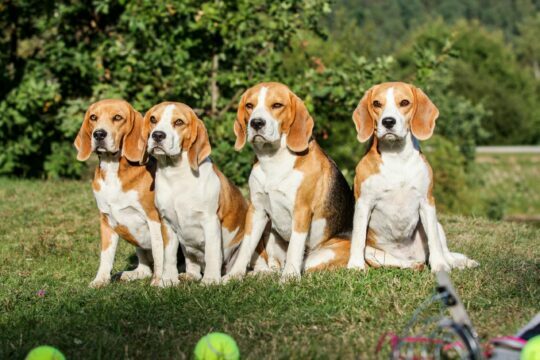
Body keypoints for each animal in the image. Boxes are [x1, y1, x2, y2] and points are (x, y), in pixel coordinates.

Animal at [73, 99, 169, 286]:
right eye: (93, 117)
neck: (112, 168)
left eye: (118, 117)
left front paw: (158, 281)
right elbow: (106, 255)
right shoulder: (106, 220)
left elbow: (159, 251)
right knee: (145, 269)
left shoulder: (154, 217)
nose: (99, 134)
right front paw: (100, 280)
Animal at [137, 101, 251, 284]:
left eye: (179, 122)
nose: (157, 135)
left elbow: (212, 253)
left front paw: (210, 280)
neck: (176, 176)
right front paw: (167, 281)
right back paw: (188, 275)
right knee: (194, 267)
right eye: (153, 119)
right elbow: (168, 256)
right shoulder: (166, 222)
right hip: (188, 248)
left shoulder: (210, 220)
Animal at [224, 81, 354, 282]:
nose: (256, 123)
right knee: (273, 266)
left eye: (277, 105)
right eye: (249, 105)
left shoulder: (301, 210)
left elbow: (294, 246)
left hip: (324, 254)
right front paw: (233, 276)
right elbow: (246, 248)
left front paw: (289, 278)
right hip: (269, 231)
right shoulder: (256, 210)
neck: (273, 160)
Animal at [346, 82, 476, 272]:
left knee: (444, 251)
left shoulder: (427, 202)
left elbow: (435, 242)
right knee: (397, 262)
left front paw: (440, 266)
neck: (396, 157)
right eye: (377, 103)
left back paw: (456, 262)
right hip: (374, 253)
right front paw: (355, 265)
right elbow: (358, 238)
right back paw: (414, 264)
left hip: (438, 224)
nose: (388, 121)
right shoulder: (363, 202)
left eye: (404, 102)